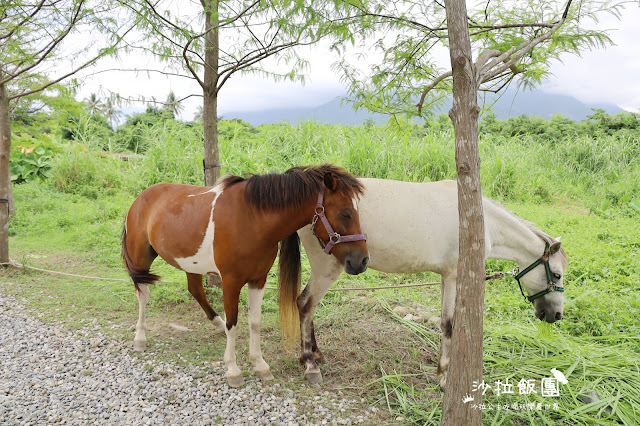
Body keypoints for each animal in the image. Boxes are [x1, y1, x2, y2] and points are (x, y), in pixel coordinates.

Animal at [122, 164, 368, 386]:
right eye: (345, 213)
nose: (362, 260)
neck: (251, 220)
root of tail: (141, 197)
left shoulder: (258, 280)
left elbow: (255, 322)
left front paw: (260, 365)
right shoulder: (231, 282)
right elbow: (234, 322)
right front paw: (233, 370)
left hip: (191, 264)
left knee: (195, 290)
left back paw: (217, 324)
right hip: (141, 258)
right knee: (143, 293)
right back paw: (140, 337)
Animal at [296, 178, 564, 388]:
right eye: (558, 275)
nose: (557, 315)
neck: (482, 223)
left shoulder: (446, 277)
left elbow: (446, 323)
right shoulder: (454, 276)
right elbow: (448, 324)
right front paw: (443, 376)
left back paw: (316, 354)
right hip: (327, 270)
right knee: (305, 304)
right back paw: (310, 363)